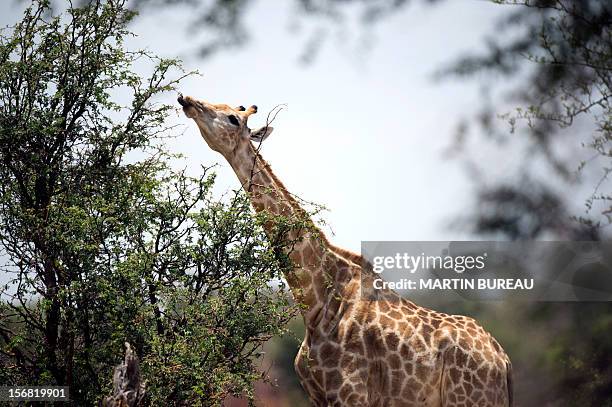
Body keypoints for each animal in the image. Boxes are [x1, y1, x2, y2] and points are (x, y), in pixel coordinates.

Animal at [177, 94, 512, 406]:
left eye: (233, 118)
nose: (187, 100)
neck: (316, 303)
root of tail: (503, 361)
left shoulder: (350, 394)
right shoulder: (319, 396)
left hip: (470, 400)